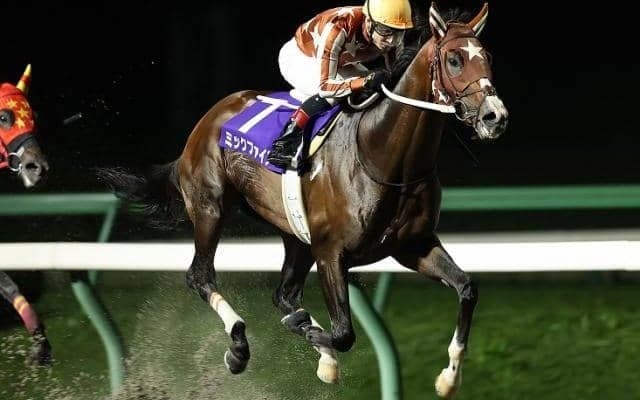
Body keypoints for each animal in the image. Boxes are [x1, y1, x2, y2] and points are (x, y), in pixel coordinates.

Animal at [99, 3, 507, 398]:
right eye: (454, 59)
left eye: (486, 56)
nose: (495, 116)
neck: (381, 153)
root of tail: (206, 122)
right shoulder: (331, 253)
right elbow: (343, 333)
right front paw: (313, 338)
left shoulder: (413, 246)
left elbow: (467, 289)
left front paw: (449, 378)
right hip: (209, 207)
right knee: (201, 276)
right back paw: (239, 347)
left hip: (295, 235)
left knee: (284, 294)